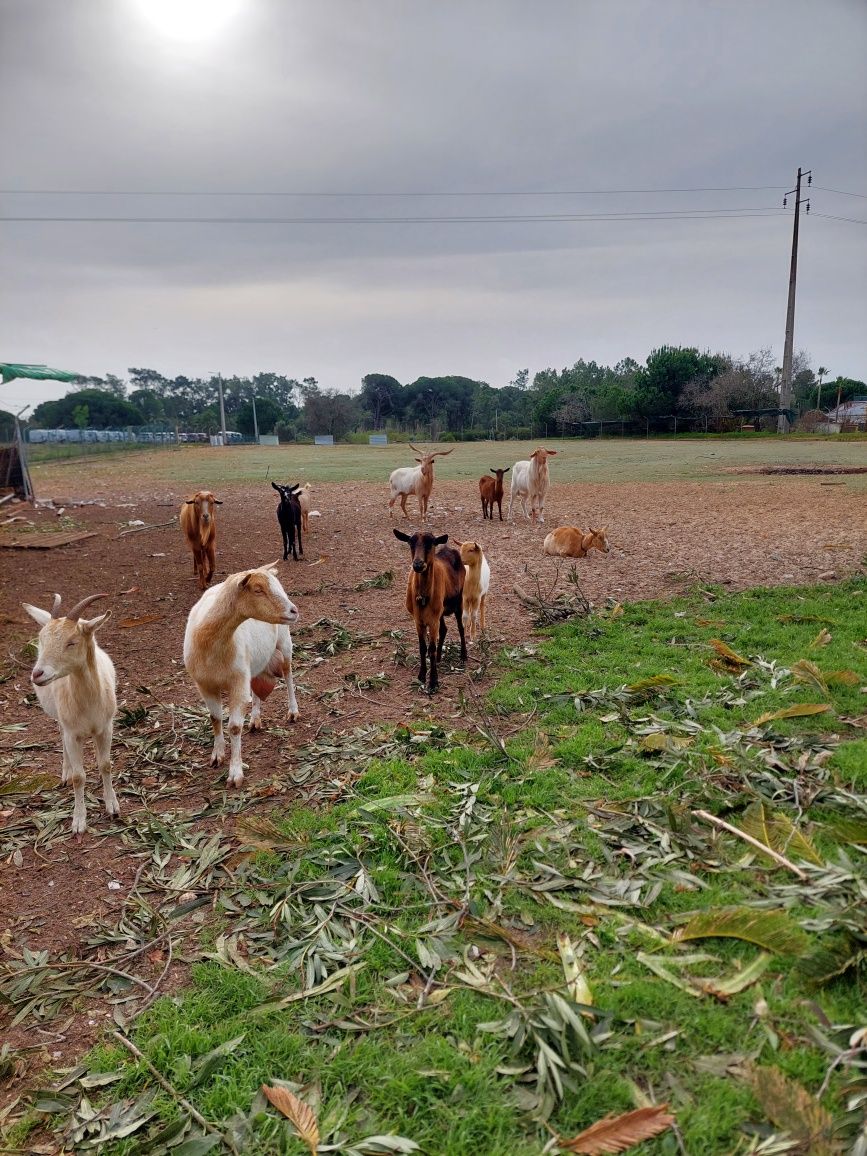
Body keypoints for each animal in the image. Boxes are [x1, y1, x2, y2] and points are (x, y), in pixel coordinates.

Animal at [23, 596, 119, 832]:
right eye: (42, 640)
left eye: (72, 642)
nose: (37, 674)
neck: (89, 703)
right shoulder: (72, 734)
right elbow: (79, 777)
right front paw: (78, 821)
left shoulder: (106, 728)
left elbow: (105, 764)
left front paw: (112, 806)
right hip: (61, 718)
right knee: (61, 736)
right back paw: (65, 772)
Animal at [183, 561, 302, 786]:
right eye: (258, 590)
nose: (294, 610)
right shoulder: (204, 685)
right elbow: (215, 718)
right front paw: (217, 755)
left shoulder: (237, 682)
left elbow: (235, 727)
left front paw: (235, 773)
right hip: (254, 661)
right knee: (256, 686)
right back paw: (255, 719)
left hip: (284, 643)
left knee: (288, 675)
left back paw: (293, 711)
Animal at [395, 529, 469, 688]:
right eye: (410, 543)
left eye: (431, 544)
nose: (418, 564)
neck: (422, 596)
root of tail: (450, 550)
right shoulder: (418, 620)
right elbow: (423, 648)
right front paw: (422, 675)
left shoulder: (433, 620)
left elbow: (432, 648)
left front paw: (434, 681)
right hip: (439, 610)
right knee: (444, 629)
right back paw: (440, 657)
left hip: (459, 601)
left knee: (461, 627)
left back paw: (463, 655)